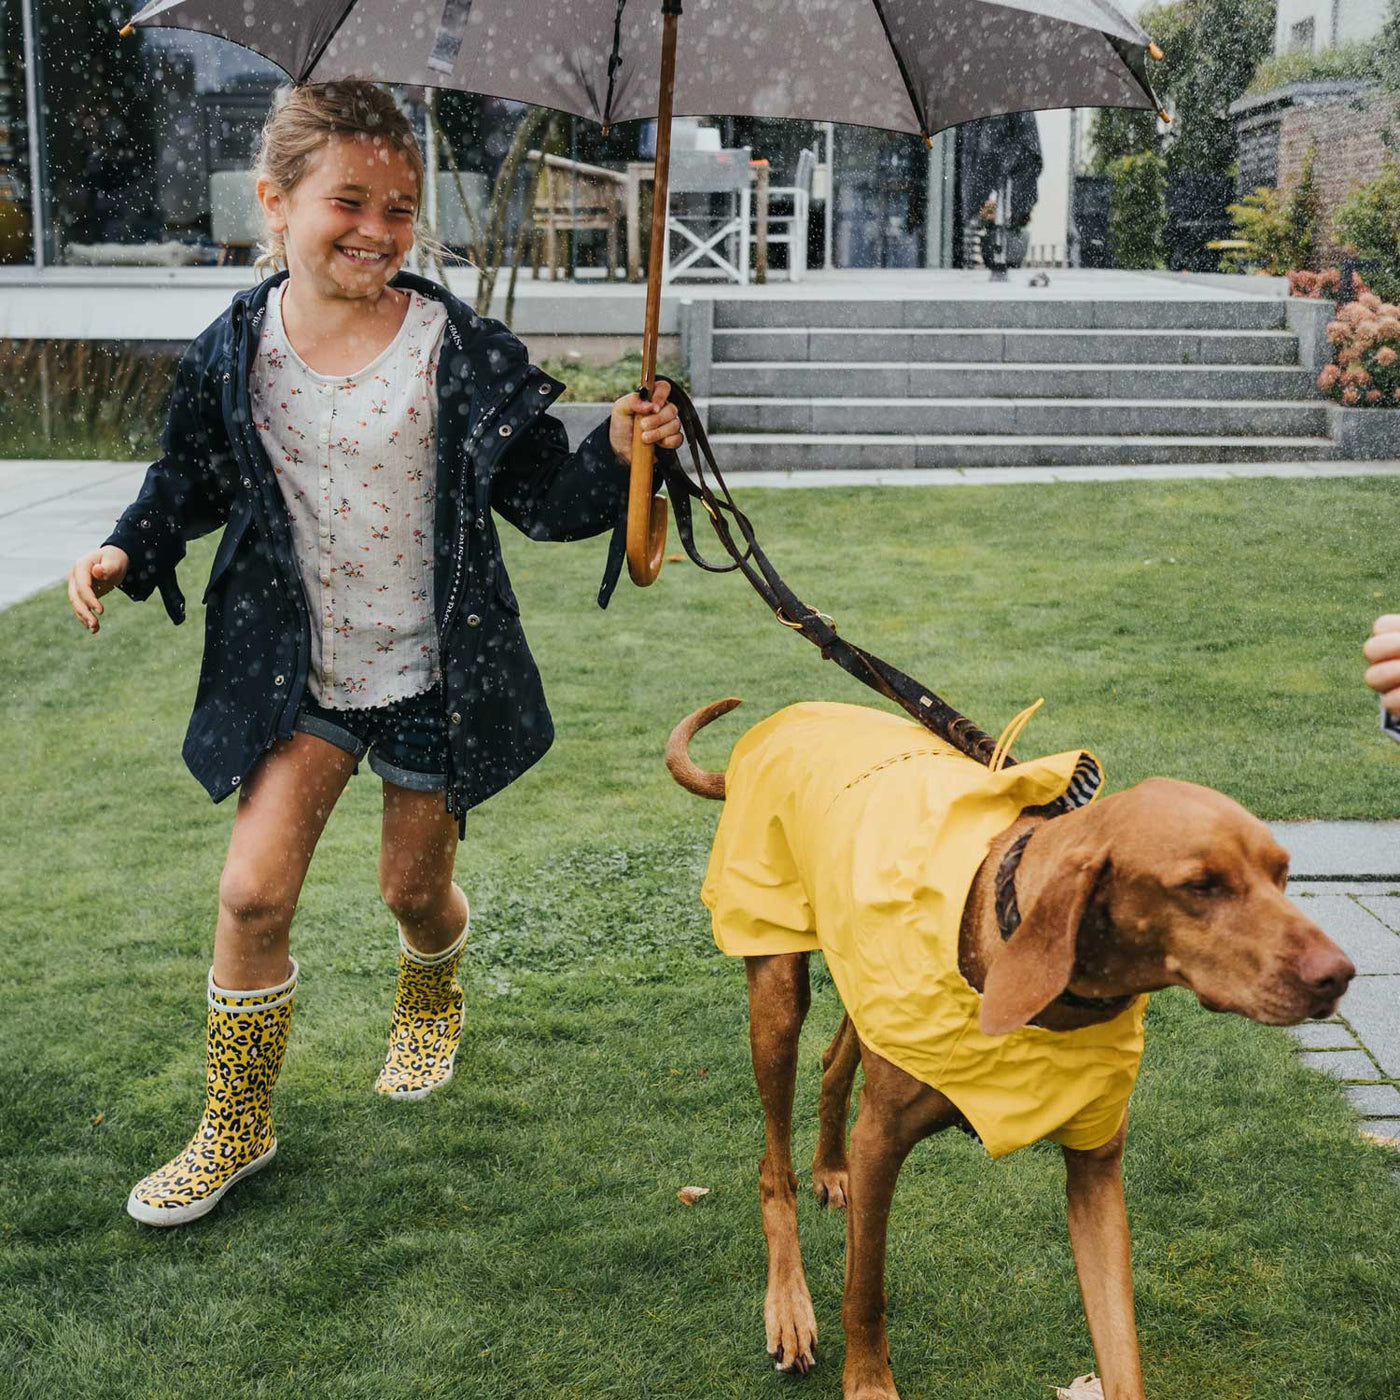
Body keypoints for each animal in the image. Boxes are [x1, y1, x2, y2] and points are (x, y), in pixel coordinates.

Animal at [666, 700, 1355, 1400]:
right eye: (1200, 885)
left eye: (1283, 874)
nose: (1339, 975)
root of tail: (779, 722)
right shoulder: (881, 1141)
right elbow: (866, 1289)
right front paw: (867, 1382)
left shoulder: (1096, 1171)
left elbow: (1120, 1342)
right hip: (775, 985)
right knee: (772, 1164)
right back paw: (789, 1307)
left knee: (834, 1066)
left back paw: (831, 1169)